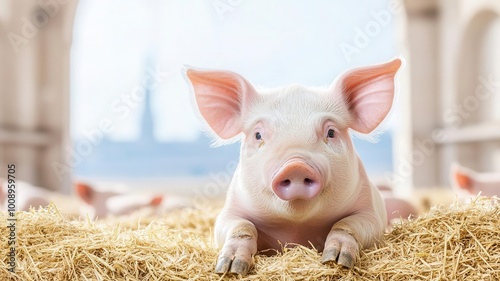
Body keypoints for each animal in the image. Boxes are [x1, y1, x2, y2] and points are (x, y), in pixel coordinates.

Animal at [186, 57, 404, 274]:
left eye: (331, 132)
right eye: (258, 135)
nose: (296, 166)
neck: (296, 227)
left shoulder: (369, 210)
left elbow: (347, 224)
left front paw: (336, 260)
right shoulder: (230, 210)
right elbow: (241, 227)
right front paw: (230, 268)